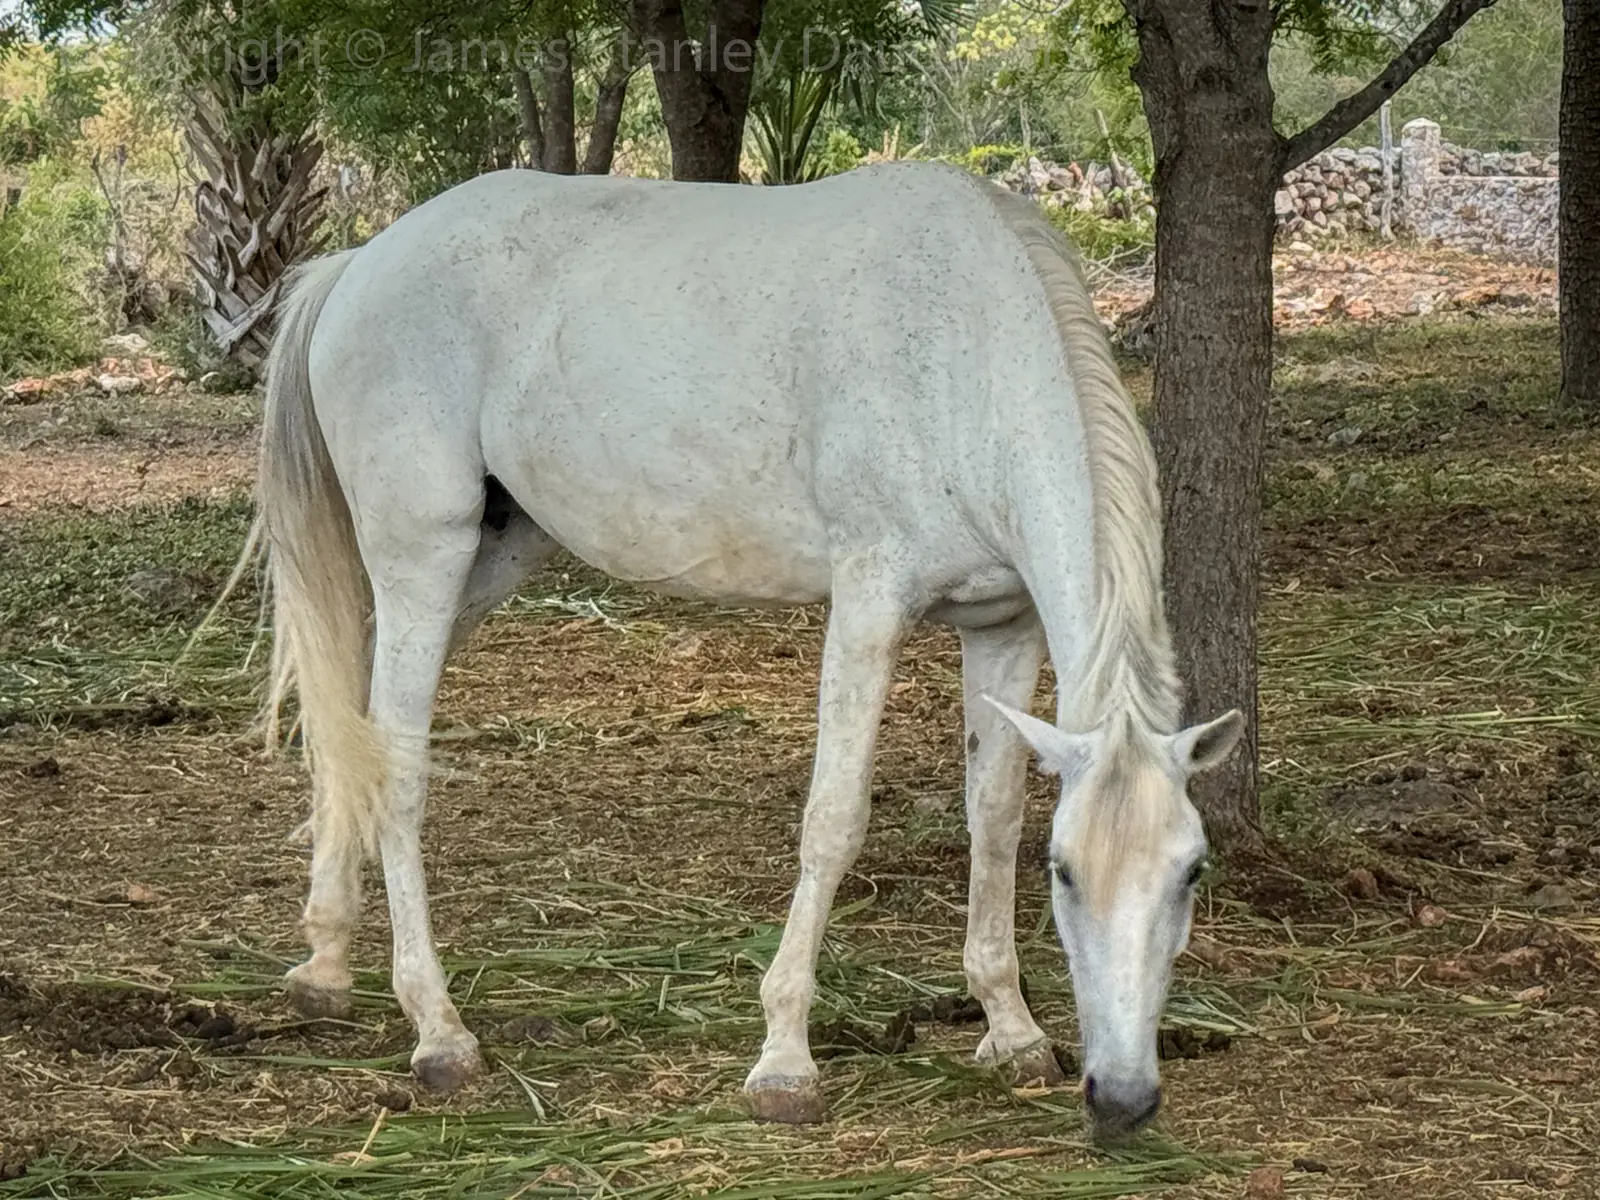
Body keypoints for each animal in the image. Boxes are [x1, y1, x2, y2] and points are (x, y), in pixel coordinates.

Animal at [254, 160, 1243, 1142]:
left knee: (350, 725)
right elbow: (834, 821)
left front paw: (1010, 1027)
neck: (967, 346)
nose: (1123, 1098)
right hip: (424, 557)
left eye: (1191, 871)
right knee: (395, 767)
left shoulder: (1002, 627)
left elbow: (992, 814)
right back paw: (439, 1032)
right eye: (1067, 873)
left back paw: (326, 961)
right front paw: (784, 1060)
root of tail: (359, 263)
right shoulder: (868, 603)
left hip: (488, 560)